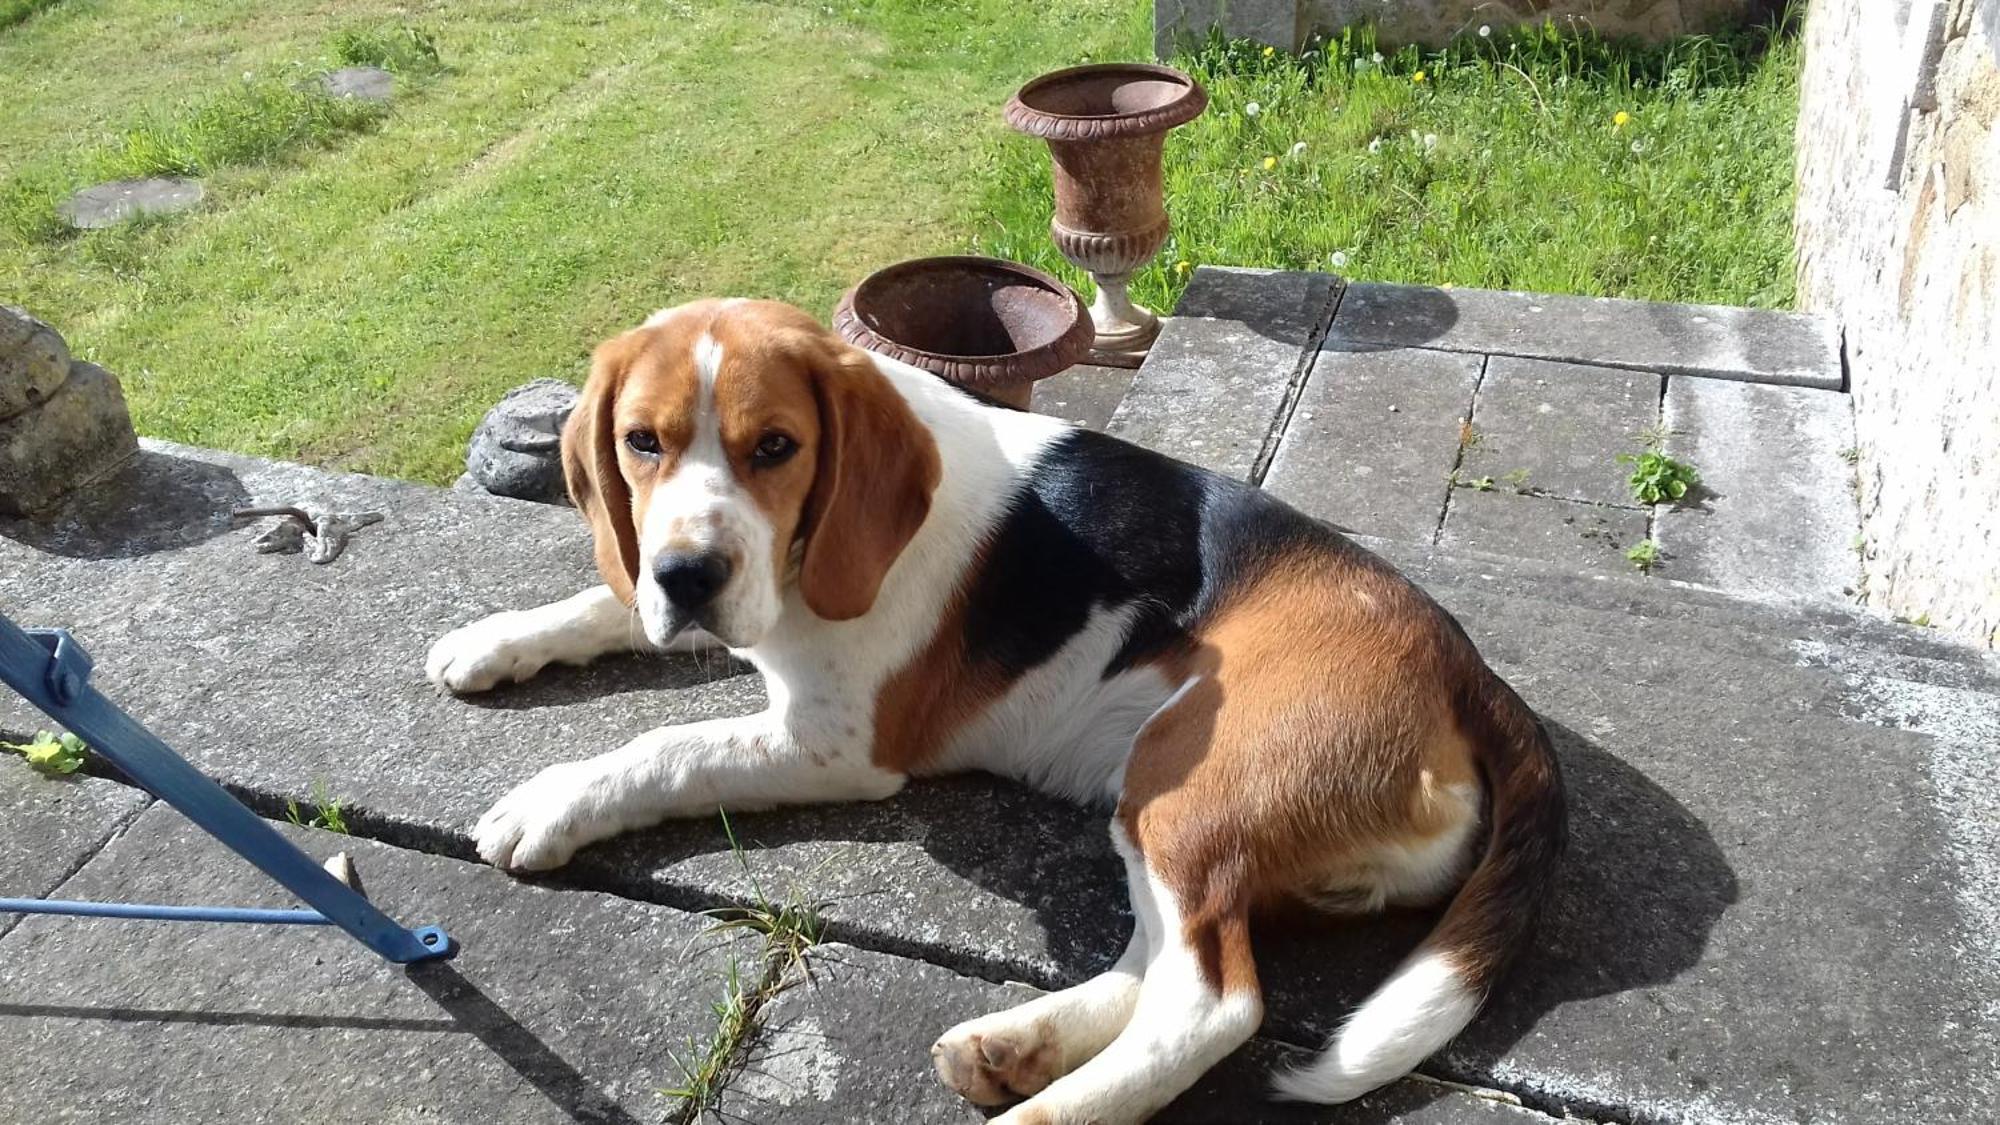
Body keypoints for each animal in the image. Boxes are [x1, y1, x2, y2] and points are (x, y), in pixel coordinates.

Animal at [430, 296, 1568, 1112]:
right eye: (640, 442)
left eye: (775, 447)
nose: (689, 576)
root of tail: (1471, 675)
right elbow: (604, 600)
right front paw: (492, 641)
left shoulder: (831, 742)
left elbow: (663, 744)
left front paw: (551, 801)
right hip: (1168, 810)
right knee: (1162, 964)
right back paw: (1013, 1046)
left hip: (1182, 776)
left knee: (1211, 1006)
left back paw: (1042, 1103)